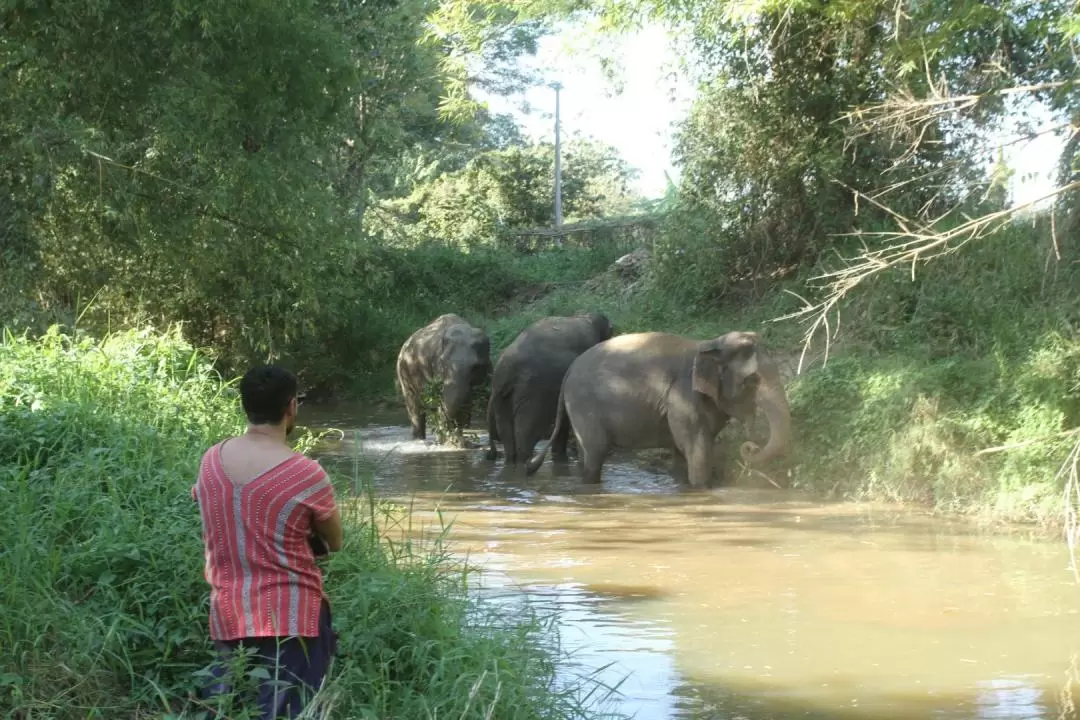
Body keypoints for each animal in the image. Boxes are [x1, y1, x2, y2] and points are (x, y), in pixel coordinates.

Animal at [395, 313, 492, 442]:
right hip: (404, 370)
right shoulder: (436, 369)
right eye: (442, 362)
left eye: (476, 367)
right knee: (415, 406)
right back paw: (419, 439)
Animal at [524, 332, 794, 490]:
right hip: (584, 406)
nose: (750, 446)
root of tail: (568, 371)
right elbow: (698, 449)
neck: (708, 345)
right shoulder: (682, 397)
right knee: (595, 454)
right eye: (752, 380)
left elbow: (682, 451)